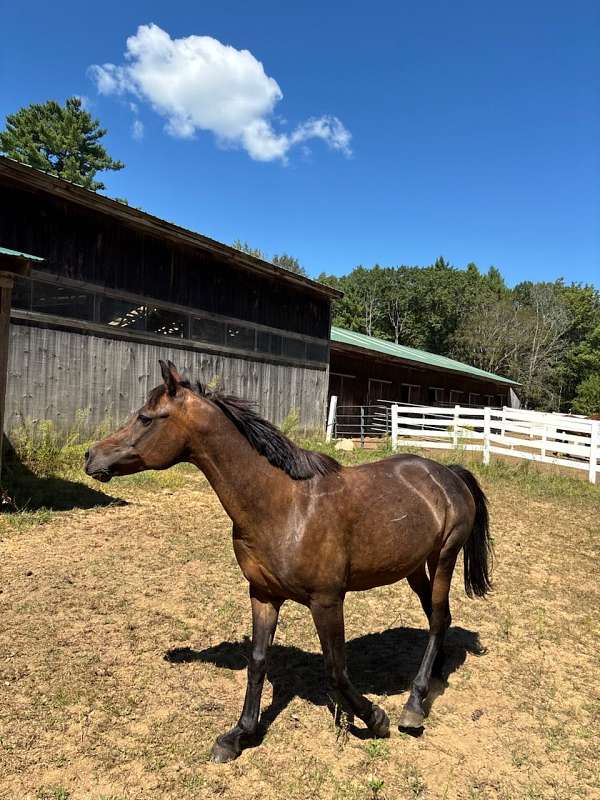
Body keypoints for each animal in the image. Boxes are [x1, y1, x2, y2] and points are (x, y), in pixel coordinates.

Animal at [85, 360, 492, 763]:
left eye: (146, 418)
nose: (91, 457)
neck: (283, 506)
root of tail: (448, 473)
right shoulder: (263, 595)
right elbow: (257, 661)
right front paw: (238, 736)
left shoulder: (327, 601)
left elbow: (336, 670)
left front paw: (376, 719)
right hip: (413, 567)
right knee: (438, 618)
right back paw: (433, 675)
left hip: (444, 557)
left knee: (437, 618)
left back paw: (414, 705)